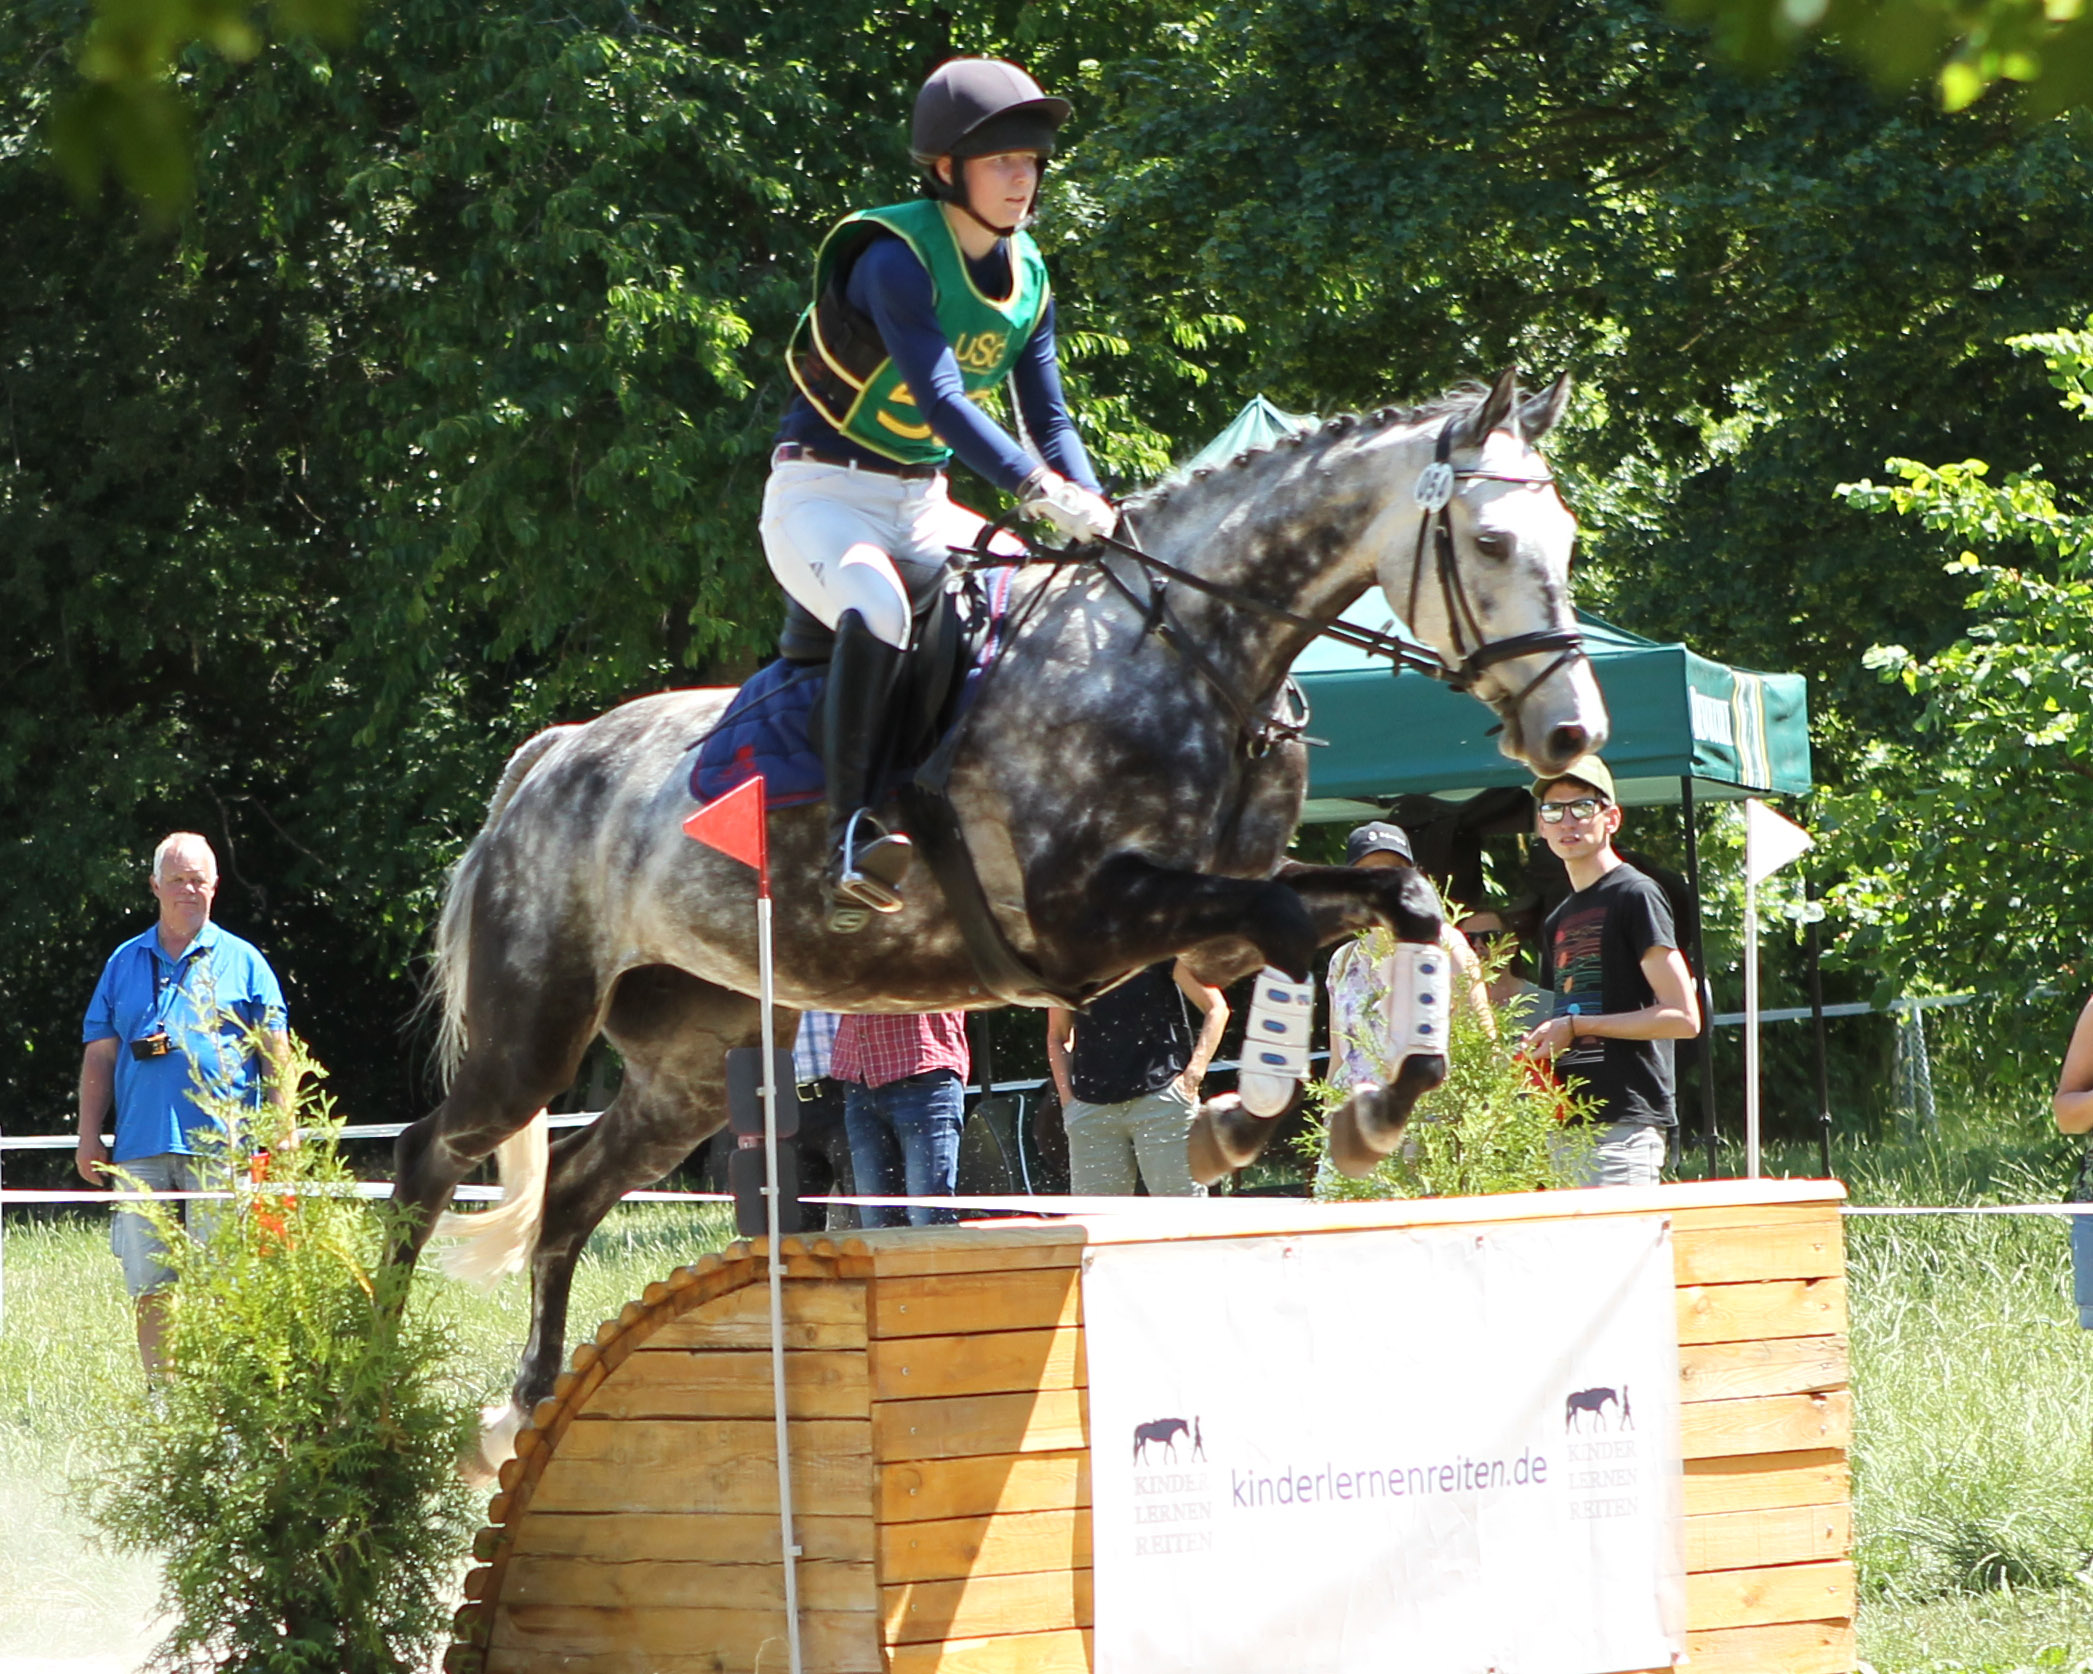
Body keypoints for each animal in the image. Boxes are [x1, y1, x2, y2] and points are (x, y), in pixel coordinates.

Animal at [393, 370, 1599, 1448]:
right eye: (1492, 544)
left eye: (1571, 541)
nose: (1570, 734)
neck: (1192, 656)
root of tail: (548, 762)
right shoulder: (1088, 922)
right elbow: (1294, 934)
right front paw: (1244, 1119)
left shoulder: (1206, 929)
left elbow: (1395, 903)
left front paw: (1372, 1106)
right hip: (535, 1032)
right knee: (426, 1156)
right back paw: (375, 1383)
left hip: (691, 1054)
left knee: (570, 1191)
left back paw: (519, 1410)